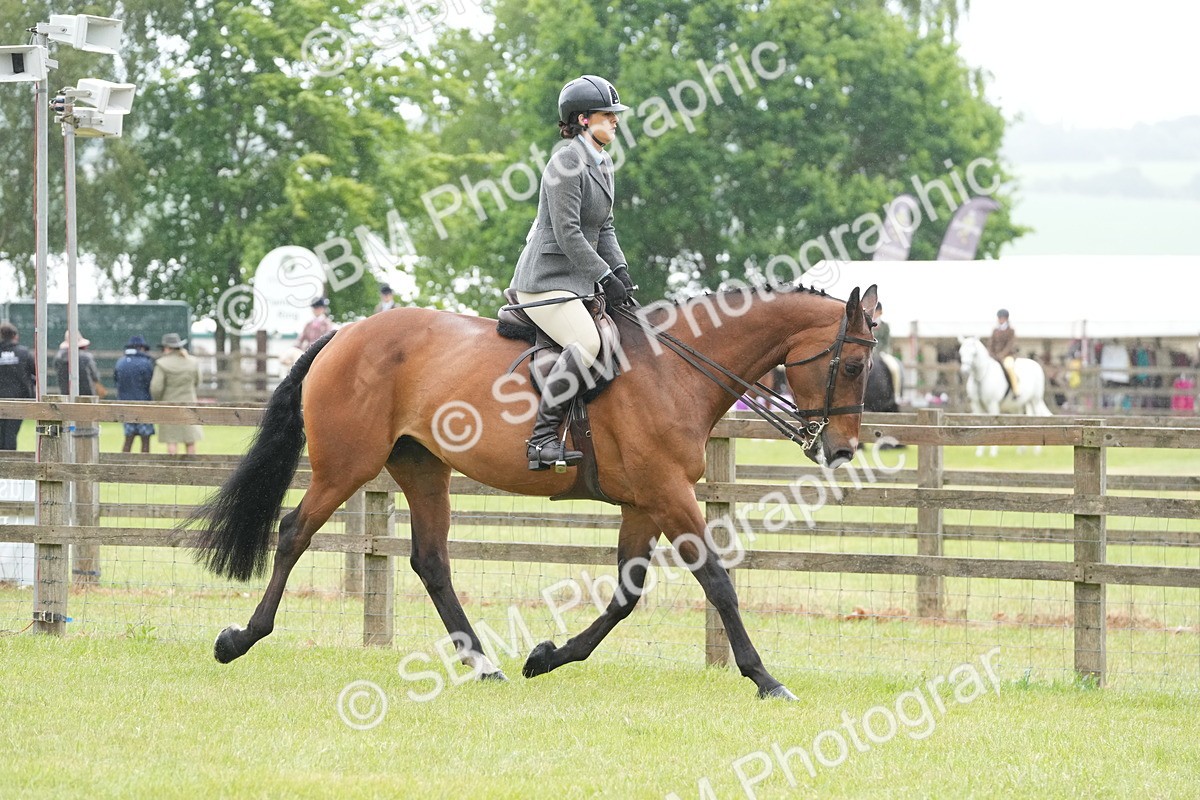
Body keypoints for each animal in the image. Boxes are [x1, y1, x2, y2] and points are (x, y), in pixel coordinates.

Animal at [189, 283, 879, 700]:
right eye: (852, 365)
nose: (842, 451)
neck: (676, 369)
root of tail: (343, 334)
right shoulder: (668, 494)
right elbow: (717, 582)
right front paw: (765, 678)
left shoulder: (644, 502)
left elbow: (625, 595)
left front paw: (547, 656)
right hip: (345, 467)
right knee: (293, 533)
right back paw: (239, 639)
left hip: (422, 468)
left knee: (430, 561)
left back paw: (486, 664)